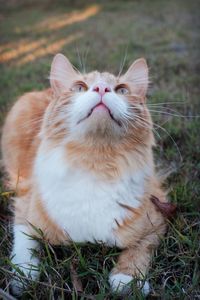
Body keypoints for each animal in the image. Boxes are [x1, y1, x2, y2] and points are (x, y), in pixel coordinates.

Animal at [2, 53, 170, 296]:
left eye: (121, 90)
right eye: (79, 87)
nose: (101, 88)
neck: (94, 163)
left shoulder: (157, 216)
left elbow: (139, 249)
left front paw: (127, 278)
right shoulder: (25, 203)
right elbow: (25, 243)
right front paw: (23, 275)